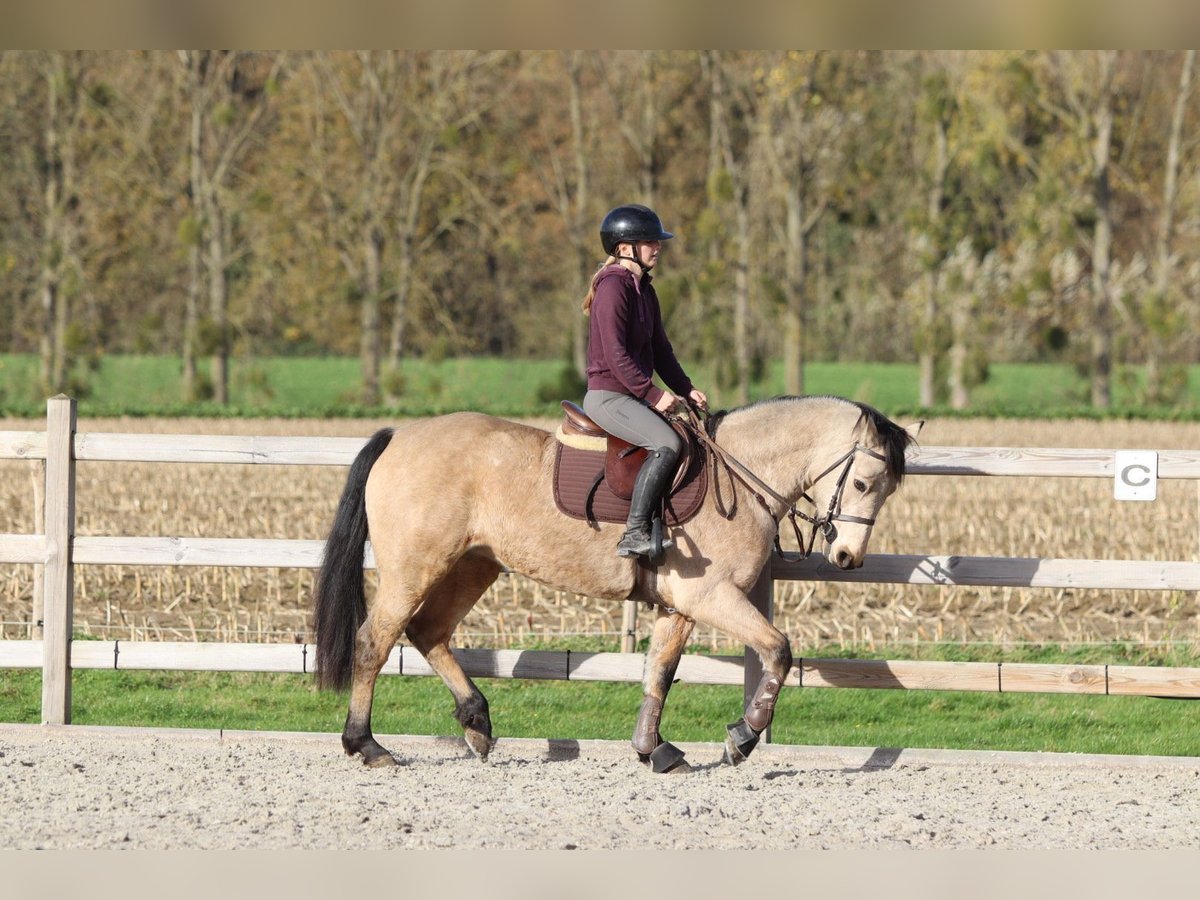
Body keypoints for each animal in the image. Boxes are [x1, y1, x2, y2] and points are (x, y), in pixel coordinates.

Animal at [312, 394, 921, 772]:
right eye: (863, 482)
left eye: (890, 489)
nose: (847, 557)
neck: (741, 472)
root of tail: (399, 436)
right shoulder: (711, 596)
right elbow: (777, 650)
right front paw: (742, 738)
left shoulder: (680, 606)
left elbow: (660, 674)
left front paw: (655, 750)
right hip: (415, 569)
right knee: (375, 642)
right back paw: (367, 745)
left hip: (472, 565)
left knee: (429, 633)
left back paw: (477, 722)